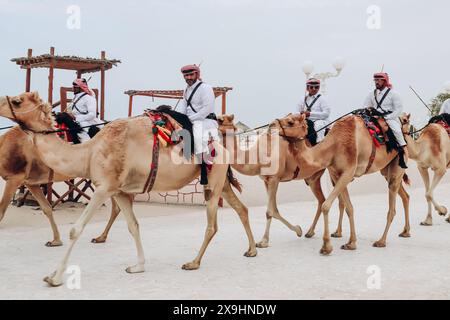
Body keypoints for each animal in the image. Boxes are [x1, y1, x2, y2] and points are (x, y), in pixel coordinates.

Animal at [0, 92, 256, 288]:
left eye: (17, 101)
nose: (1, 101)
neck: (89, 153)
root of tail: (222, 145)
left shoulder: (104, 187)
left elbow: (75, 229)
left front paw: (54, 278)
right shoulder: (120, 191)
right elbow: (133, 226)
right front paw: (138, 266)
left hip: (213, 180)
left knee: (212, 225)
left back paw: (193, 262)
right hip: (221, 182)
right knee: (241, 209)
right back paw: (252, 250)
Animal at [274, 112, 412, 255]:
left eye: (290, 122)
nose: (272, 124)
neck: (334, 145)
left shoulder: (348, 172)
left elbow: (326, 205)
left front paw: (326, 246)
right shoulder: (337, 174)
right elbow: (349, 208)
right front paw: (351, 243)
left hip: (399, 164)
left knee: (392, 208)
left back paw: (381, 241)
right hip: (386, 170)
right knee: (405, 195)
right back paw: (405, 232)